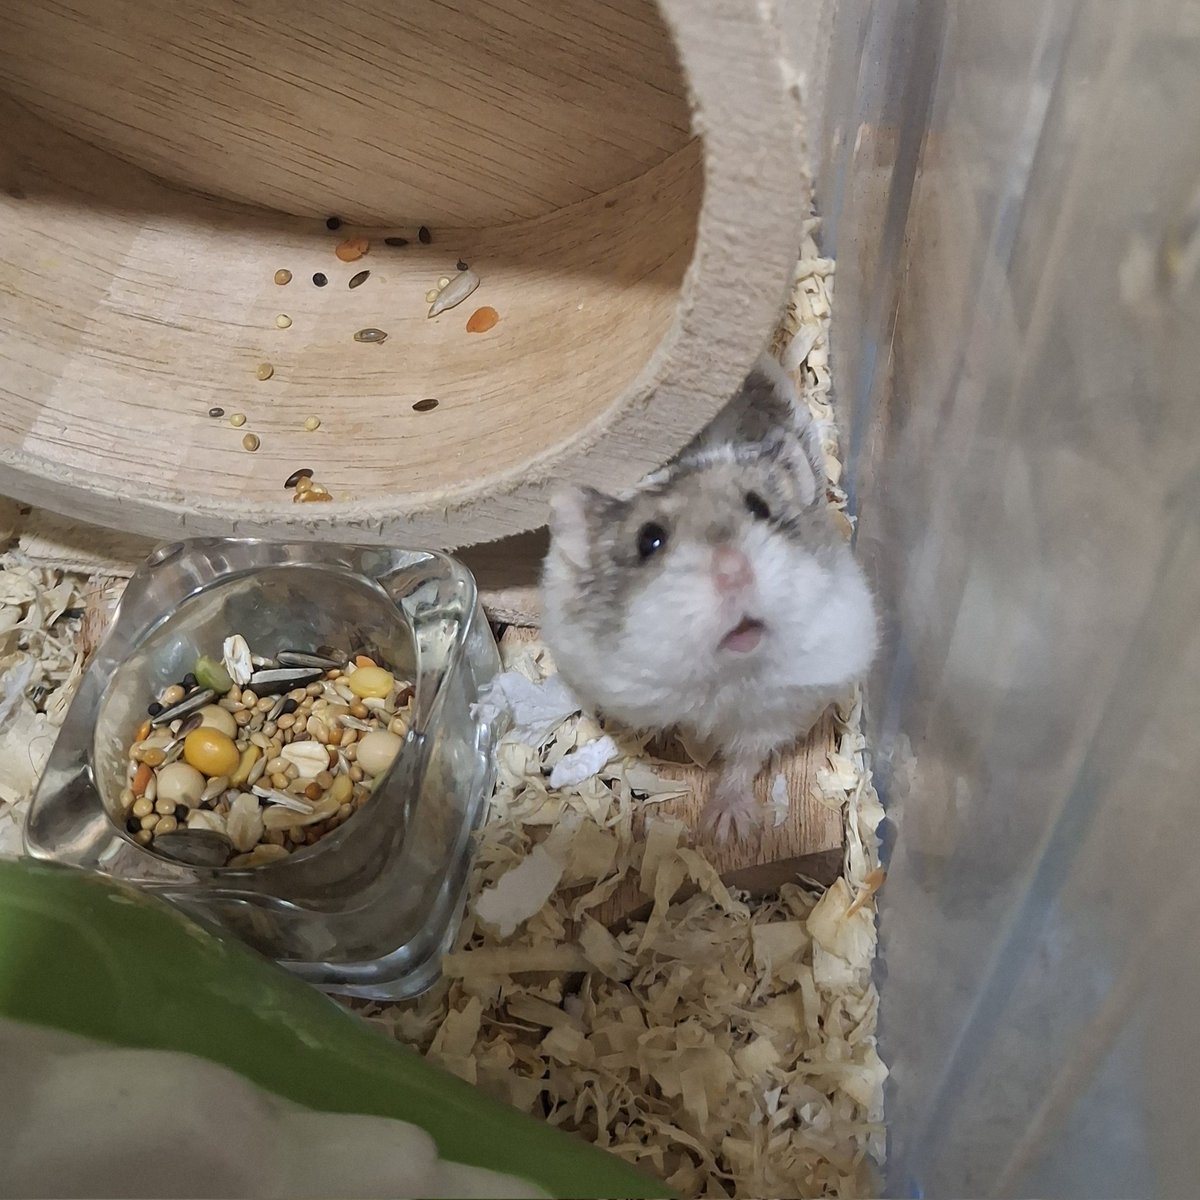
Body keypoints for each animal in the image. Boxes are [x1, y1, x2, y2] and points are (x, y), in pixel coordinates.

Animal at [540, 353, 877, 841]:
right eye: (649, 540)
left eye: (760, 507)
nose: (734, 571)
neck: (723, 674)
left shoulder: (779, 709)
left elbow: (744, 759)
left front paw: (727, 829)